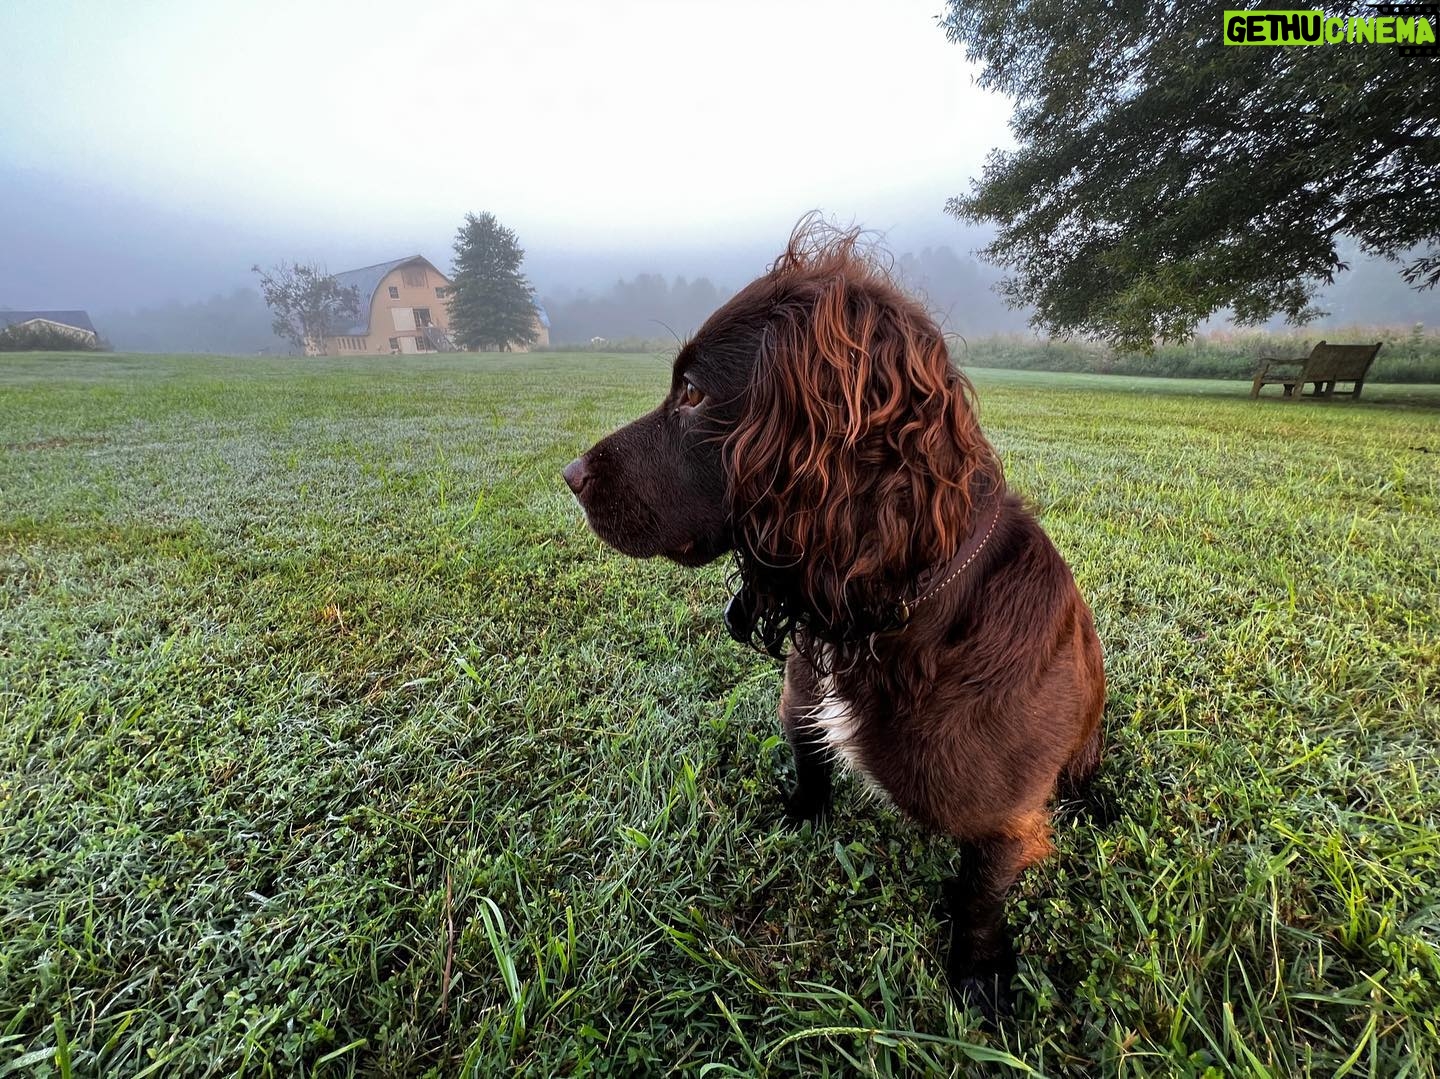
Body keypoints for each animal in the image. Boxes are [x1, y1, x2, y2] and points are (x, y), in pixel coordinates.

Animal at [563, 224, 1105, 1018]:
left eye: (692, 393)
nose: (569, 476)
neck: (881, 623)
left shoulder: (1008, 819)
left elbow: (978, 893)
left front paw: (978, 970)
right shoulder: (803, 706)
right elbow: (811, 761)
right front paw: (801, 814)